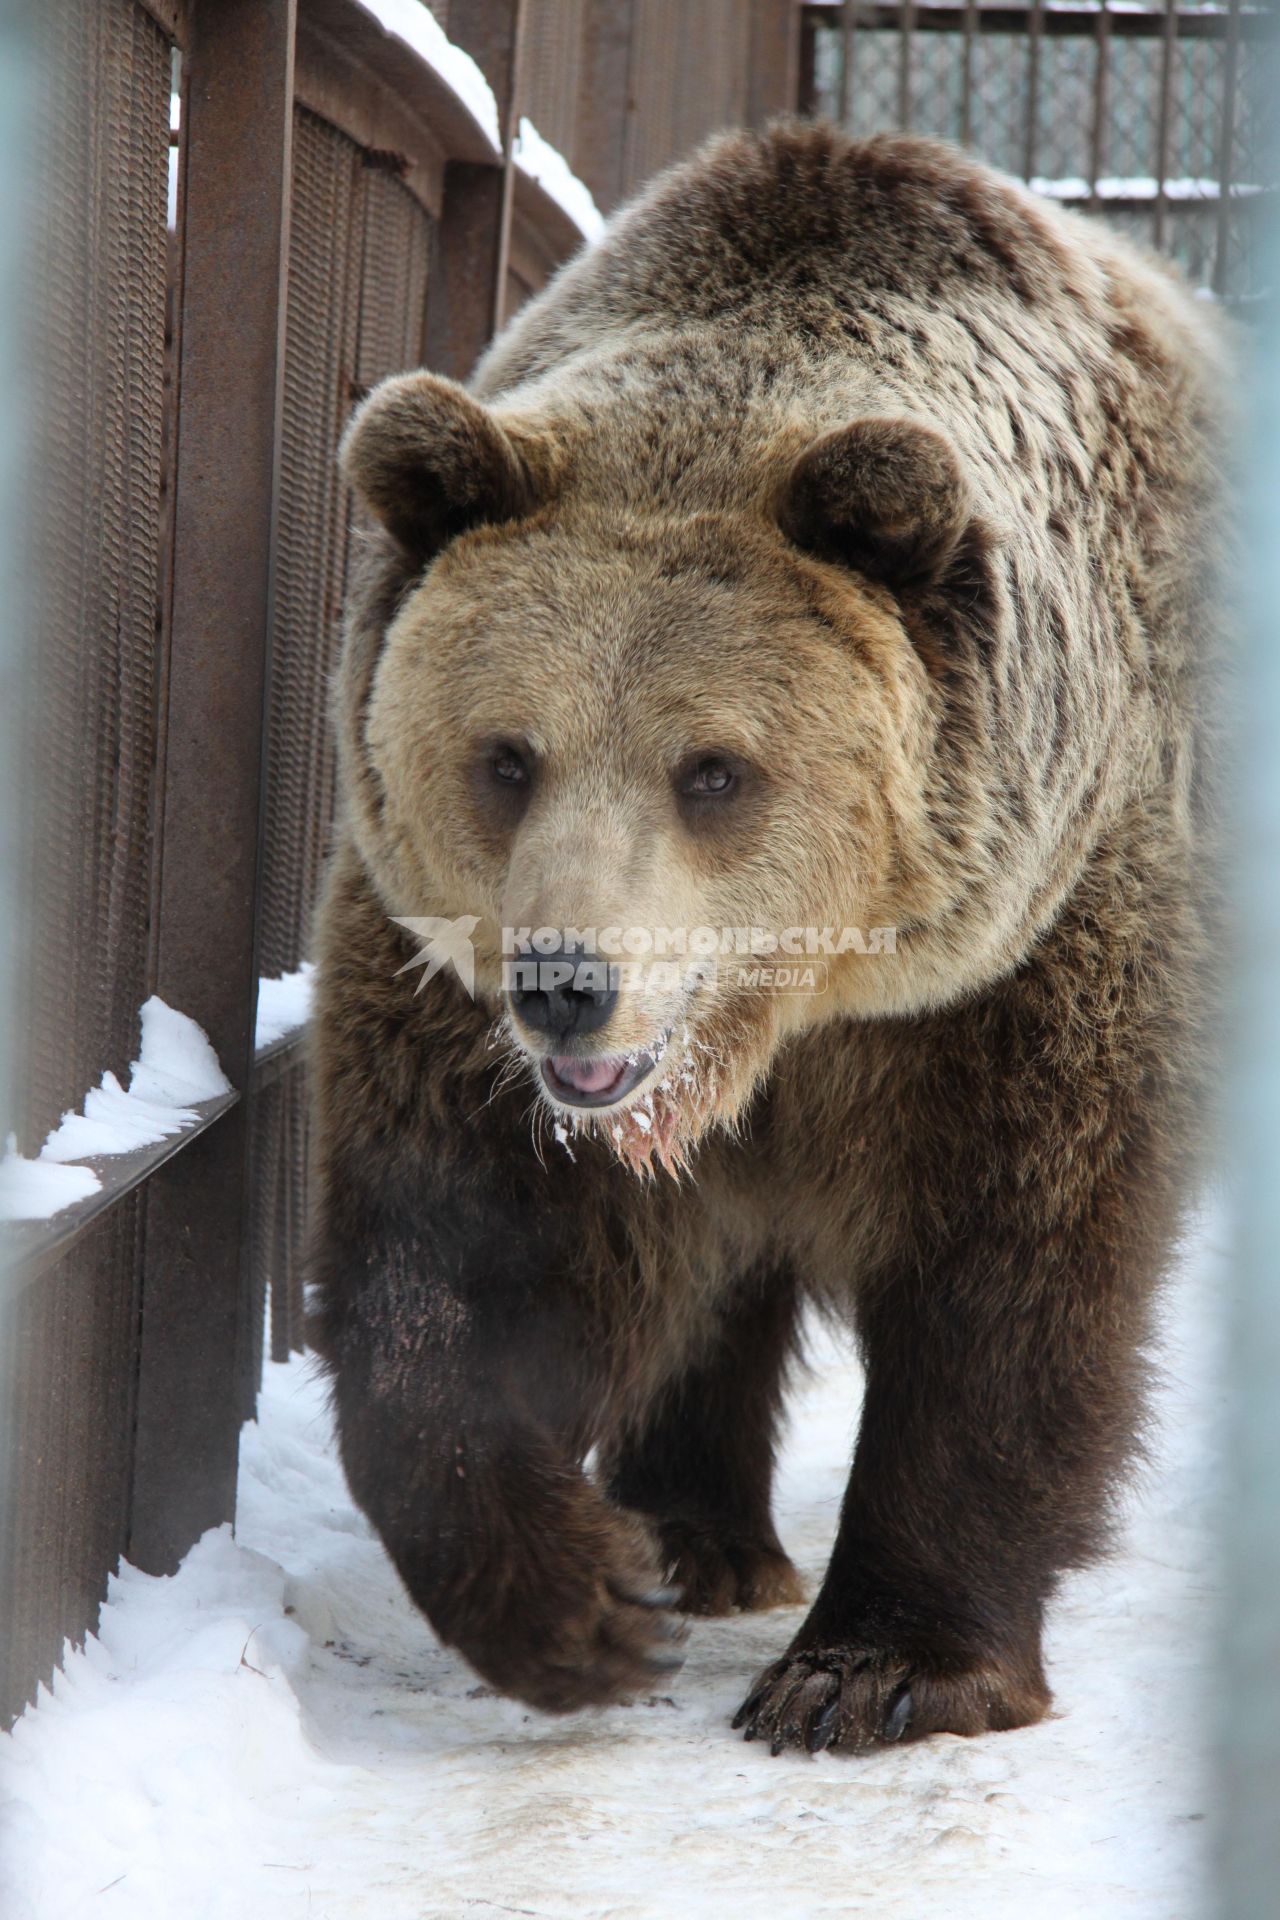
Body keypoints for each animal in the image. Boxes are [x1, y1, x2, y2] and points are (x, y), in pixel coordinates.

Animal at [305, 123, 1228, 1758]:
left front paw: (875, 1665)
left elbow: (1015, 1272)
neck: (795, 1010)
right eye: (507, 755)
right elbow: (457, 1252)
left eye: (713, 769)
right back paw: (695, 1534)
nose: (566, 990)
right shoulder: (449, 981)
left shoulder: (1041, 940)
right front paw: (581, 1599)